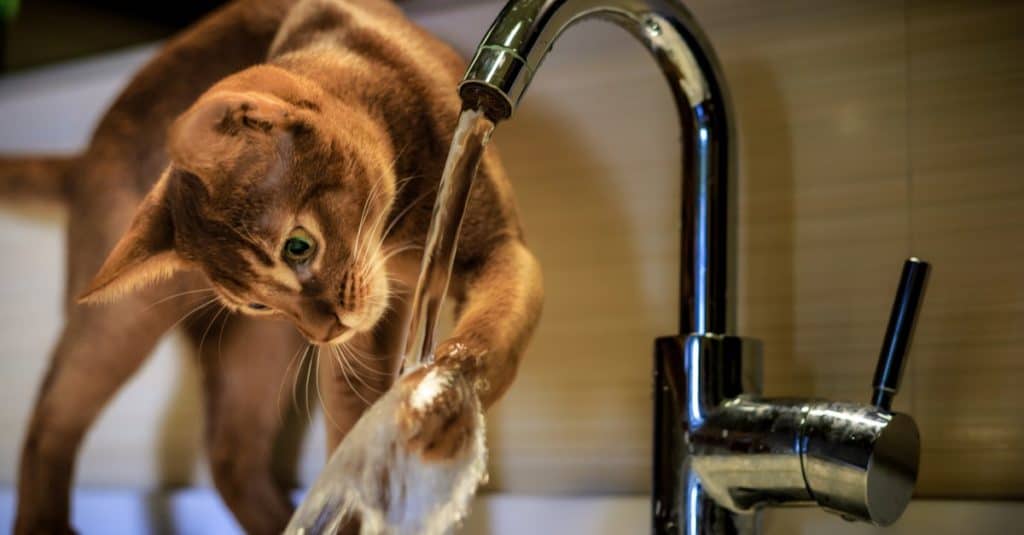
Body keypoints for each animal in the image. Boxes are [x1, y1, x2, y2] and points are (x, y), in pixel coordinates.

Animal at [2, 1, 544, 532]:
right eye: (258, 302)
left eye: (297, 247)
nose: (325, 331)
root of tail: (82, 157)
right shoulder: (360, 337)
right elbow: (350, 436)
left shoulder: (500, 248)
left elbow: (488, 339)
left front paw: (436, 404)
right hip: (125, 326)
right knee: (49, 422)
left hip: (251, 349)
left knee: (229, 453)